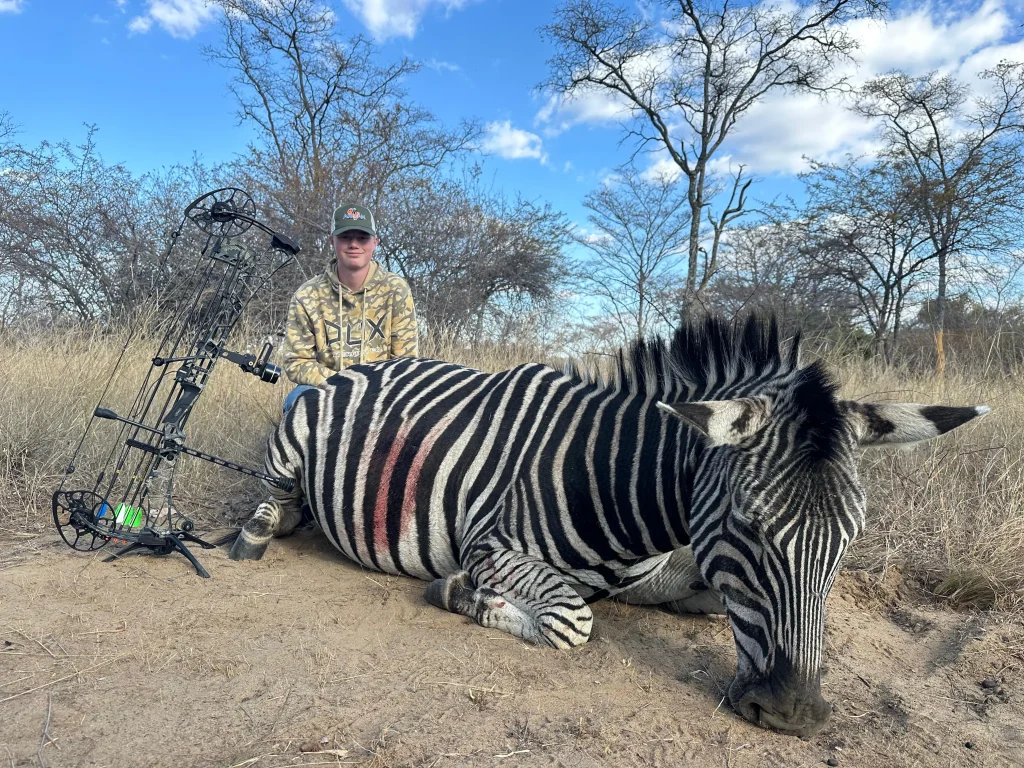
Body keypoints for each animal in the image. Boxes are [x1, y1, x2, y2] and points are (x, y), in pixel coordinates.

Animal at [230, 315, 987, 737]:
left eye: (848, 539)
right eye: (748, 524)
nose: (793, 713)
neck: (624, 486)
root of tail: (358, 366)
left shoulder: (673, 571)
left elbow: (711, 606)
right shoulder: (491, 547)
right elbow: (572, 620)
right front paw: (460, 595)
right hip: (291, 438)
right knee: (267, 501)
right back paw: (257, 533)